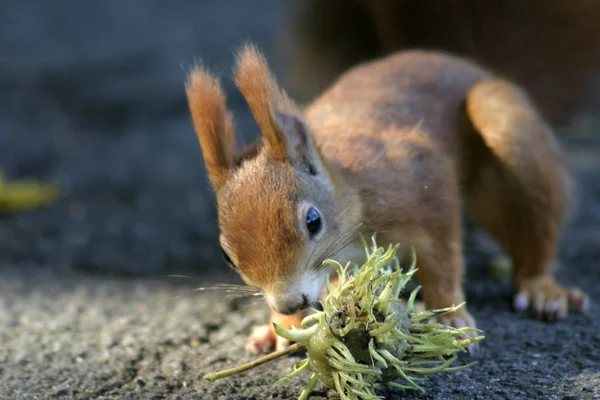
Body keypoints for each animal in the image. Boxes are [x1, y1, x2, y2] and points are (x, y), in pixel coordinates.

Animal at [186, 43, 592, 356]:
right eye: (226, 254)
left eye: (313, 221)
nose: (288, 303)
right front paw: (279, 326)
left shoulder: (421, 179)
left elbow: (442, 256)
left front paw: (449, 317)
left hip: (507, 128)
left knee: (537, 232)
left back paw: (542, 289)